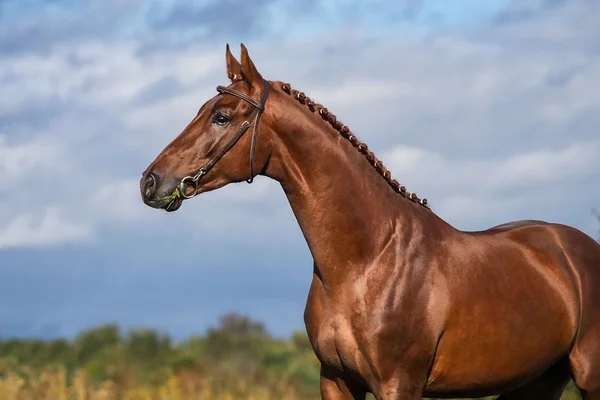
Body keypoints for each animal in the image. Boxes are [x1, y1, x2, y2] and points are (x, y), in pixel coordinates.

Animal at [141, 43, 600, 396]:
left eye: (221, 116)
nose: (150, 181)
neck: (367, 261)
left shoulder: (399, 384)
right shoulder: (335, 380)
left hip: (589, 377)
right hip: (536, 383)